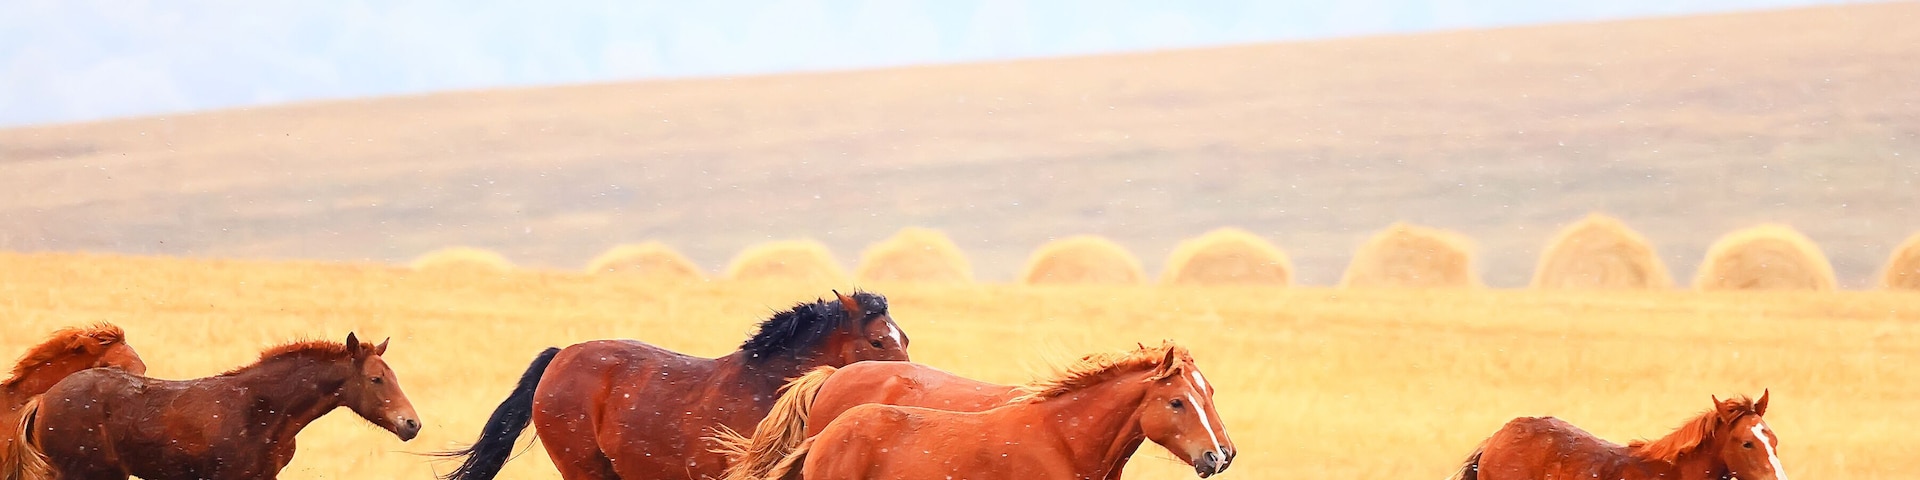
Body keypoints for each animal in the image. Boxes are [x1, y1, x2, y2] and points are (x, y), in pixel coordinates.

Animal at [439, 290, 911, 480]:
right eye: (877, 340)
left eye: (903, 337)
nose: (913, 379)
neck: (765, 389)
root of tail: (561, 355)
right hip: (583, 468)